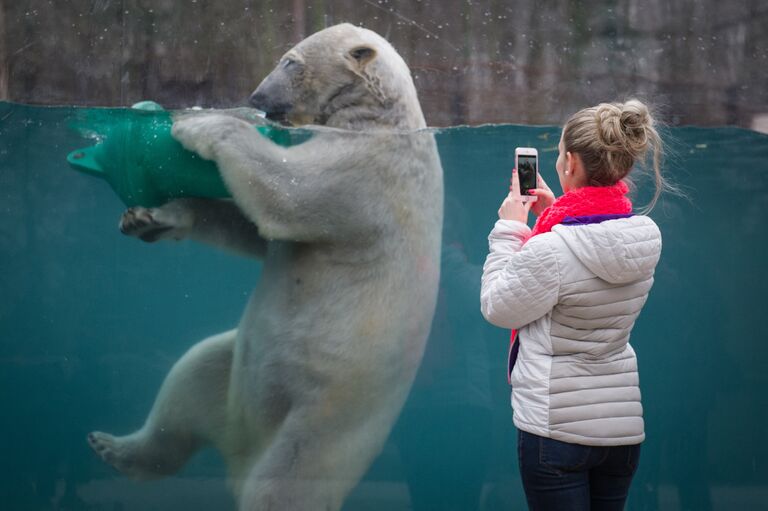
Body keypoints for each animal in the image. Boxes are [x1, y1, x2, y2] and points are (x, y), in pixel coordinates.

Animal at [87, 22, 444, 510]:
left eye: (289, 62)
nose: (255, 98)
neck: (385, 120)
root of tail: (239, 453)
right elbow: (261, 235)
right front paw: (153, 217)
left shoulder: (367, 173)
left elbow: (288, 196)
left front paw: (196, 122)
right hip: (231, 373)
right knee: (188, 381)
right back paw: (115, 448)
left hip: (321, 424)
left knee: (282, 482)